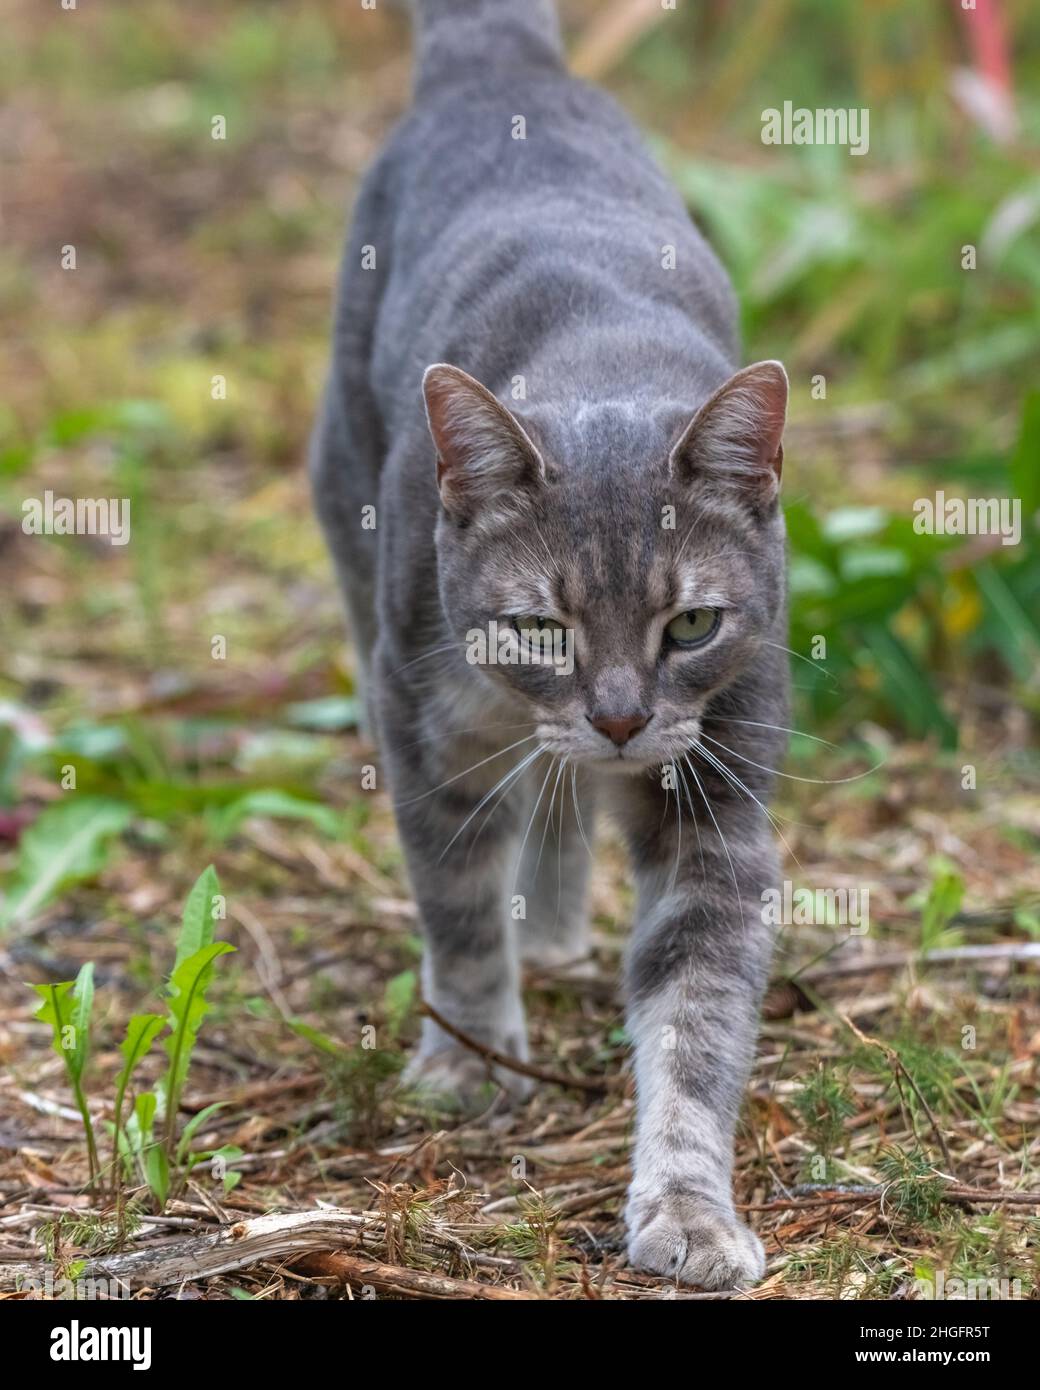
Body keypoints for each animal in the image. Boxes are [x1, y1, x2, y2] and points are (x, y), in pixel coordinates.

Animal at [308, 0, 789, 1289]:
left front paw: (687, 1212)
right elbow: (459, 906)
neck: (597, 361)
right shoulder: (427, 730)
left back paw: (567, 932)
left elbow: (694, 1019)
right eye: (538, 626)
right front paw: (468, 1063)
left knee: (565, 809)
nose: (620, 716)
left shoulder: (715, 794)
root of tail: (502, 60)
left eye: (690, 623)